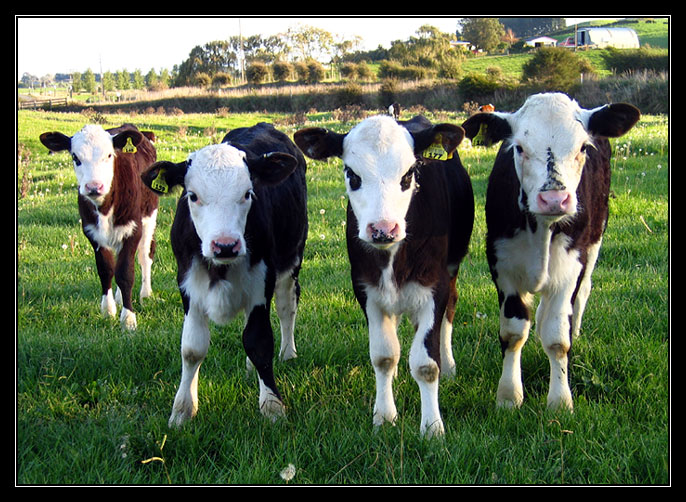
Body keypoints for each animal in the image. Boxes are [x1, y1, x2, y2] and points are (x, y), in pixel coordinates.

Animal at [40, 124, 159, 332]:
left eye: (109, 155)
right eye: (75, 157)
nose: (94, 186)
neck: (104, 208)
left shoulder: (133, 229)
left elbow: (126, 273)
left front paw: (128, 319)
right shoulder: (92, 233)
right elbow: (106, 269)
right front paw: (108, 310)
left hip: (149, 216)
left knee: (145, 255)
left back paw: (145, 294)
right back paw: (119, 298)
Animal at [292, 114, 476, 436]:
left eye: (409, 174)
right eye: (352, 174)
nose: (382, 229)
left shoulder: (435, 286)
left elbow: (426, 364)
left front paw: (432, 427)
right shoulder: (367, 290)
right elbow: (384, 355)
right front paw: (385, 416)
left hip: (454, 266)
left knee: (450, 310)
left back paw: (450, 365)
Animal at [460, 92, 644, 410]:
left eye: (582, 147)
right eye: (519, 147)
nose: (555, 199)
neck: (542, 230)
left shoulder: (571, 268)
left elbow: (558, 339)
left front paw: (560, 400)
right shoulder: (502, 266)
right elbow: (513, 333)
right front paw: (509, 396)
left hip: (594, 243)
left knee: (581, 293)